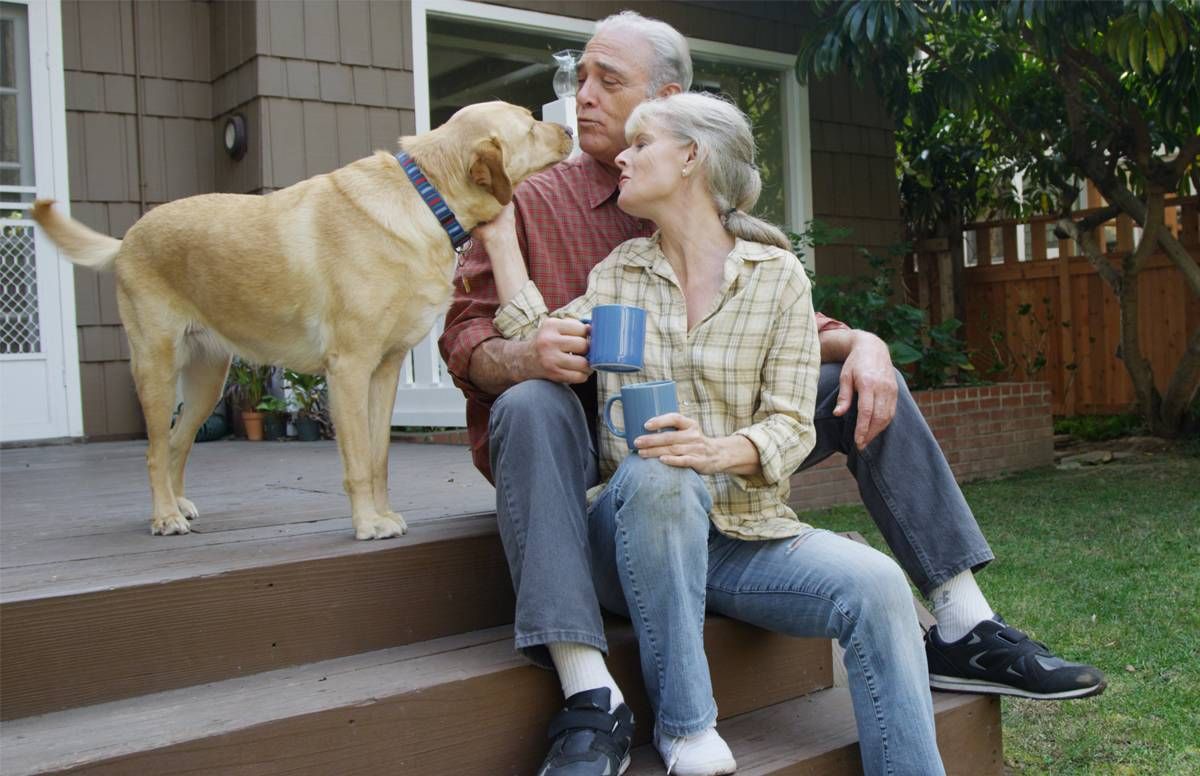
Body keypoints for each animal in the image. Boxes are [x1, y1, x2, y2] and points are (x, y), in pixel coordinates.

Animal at [30, 101, 568, 539]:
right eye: (530, 125)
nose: (566, 129)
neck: (426, 197)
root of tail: (127, 239)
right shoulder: (348, 368)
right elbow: (357, 460)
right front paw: (368, 524)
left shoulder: (385, 370)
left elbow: (378, 457)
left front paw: (383, 513)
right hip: (157, 367)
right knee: (154, 449)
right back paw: (164, 517)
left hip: (206, 380)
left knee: (178, 442)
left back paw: (178, 504)